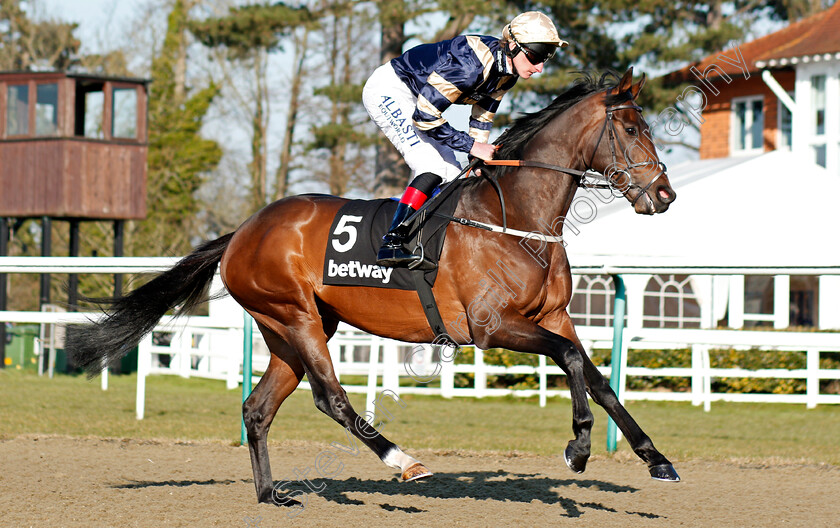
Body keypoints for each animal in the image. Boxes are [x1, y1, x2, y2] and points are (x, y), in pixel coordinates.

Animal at [67, 68, 684, 506]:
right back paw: (402, 460)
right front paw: (578, 447)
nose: (664, 195)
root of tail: (243, 230)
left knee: (257, 408)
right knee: (331, 397)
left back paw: (270, 494)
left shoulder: (554, 316)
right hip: (296, 316)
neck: (516, 217)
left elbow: (598, 378)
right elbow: (572, 362)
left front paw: (655, 458)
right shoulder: (492, 328)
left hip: (289, 329)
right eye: (633, 130)